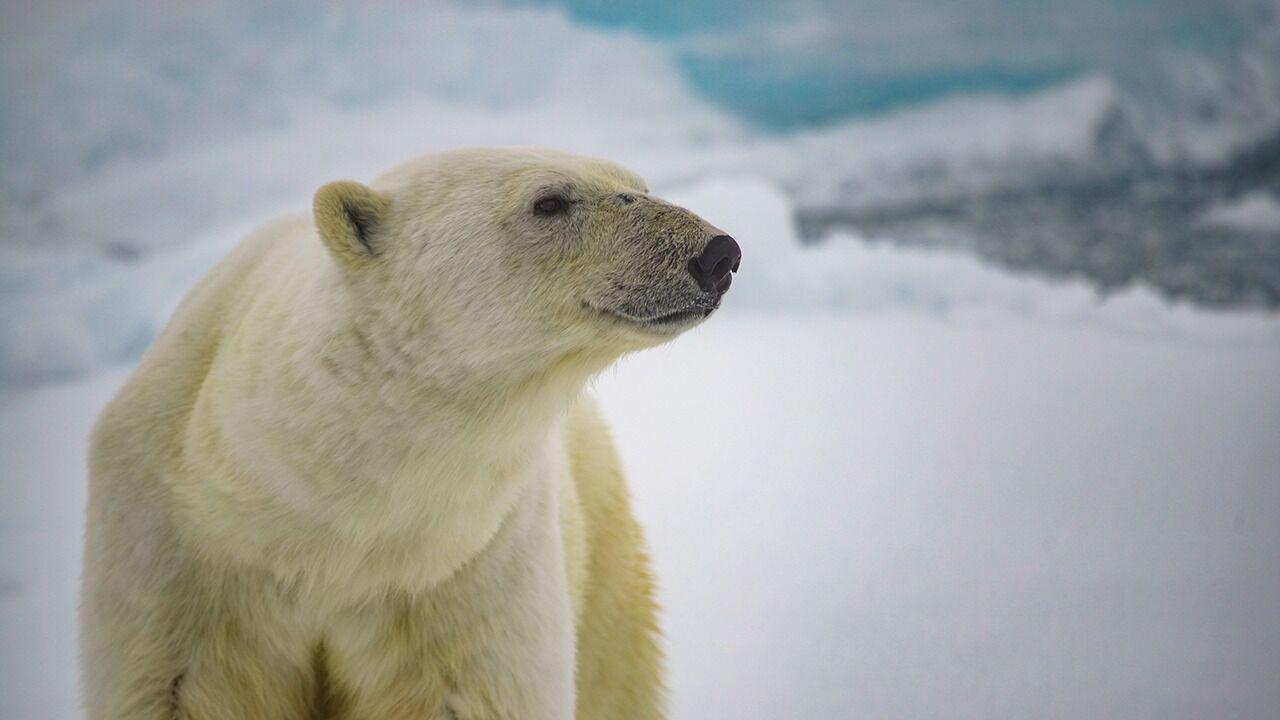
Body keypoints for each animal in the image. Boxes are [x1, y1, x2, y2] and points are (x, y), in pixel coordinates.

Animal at [80, 147, 742, 717]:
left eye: (640, 184)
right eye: (550, 201)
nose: (719, 254)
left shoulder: (465, 570)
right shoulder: (176, 567)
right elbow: (184, 689)